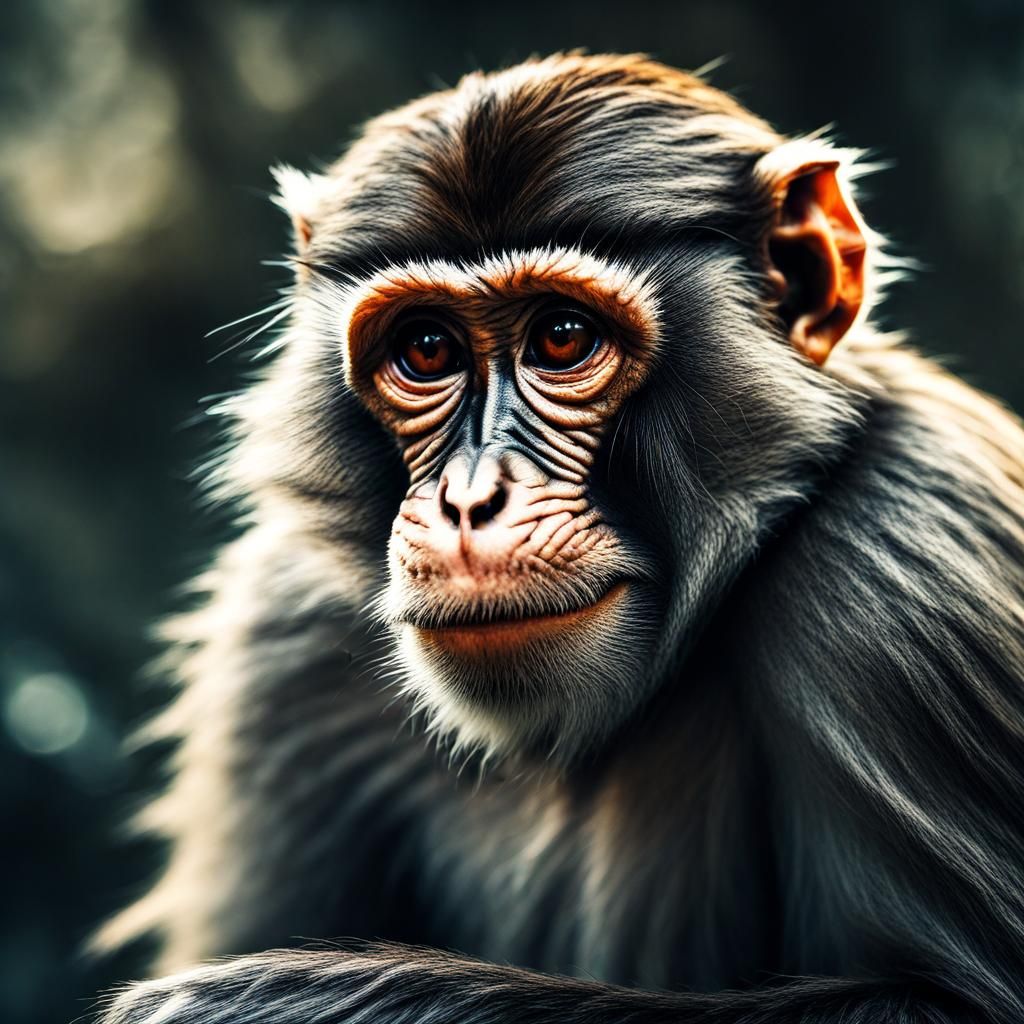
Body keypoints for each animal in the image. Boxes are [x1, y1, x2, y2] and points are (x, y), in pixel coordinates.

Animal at [94, 53, 1024, 1024]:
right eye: (427, 350)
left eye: (564, 337)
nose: (471, 500)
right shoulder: (280, 640)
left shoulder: (909, 564)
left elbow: (940, 1000)